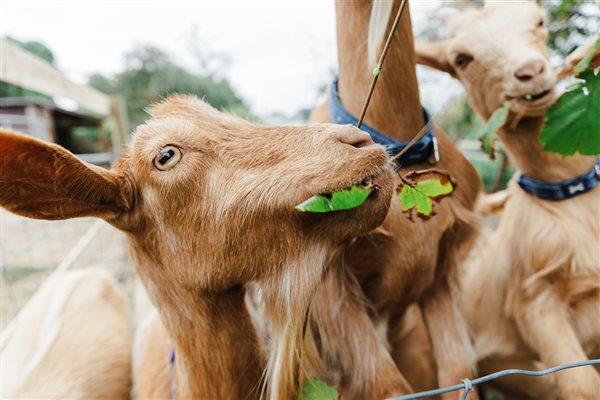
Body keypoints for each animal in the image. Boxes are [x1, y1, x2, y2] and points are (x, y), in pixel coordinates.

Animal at [418, 1, 600, 398]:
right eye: (461, 59)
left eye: (539, 21)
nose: (530, 72)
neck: (571, 196)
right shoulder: (535, 299)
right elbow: (581, 385)